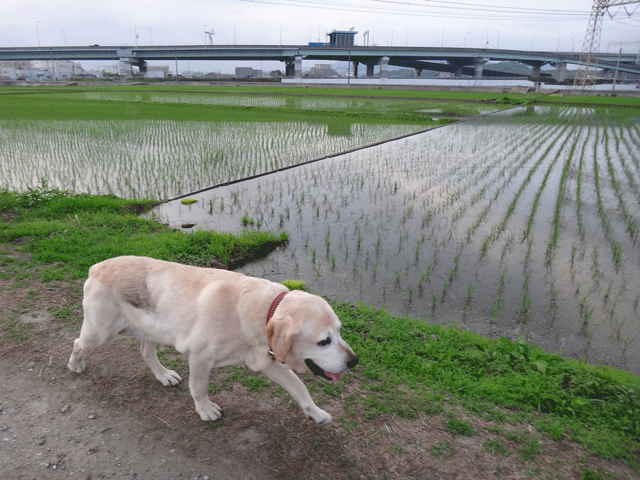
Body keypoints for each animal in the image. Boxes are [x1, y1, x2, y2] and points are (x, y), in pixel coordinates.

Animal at [70, 255, 360, 424]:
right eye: (323, 341)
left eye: (339, 331)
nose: (354, 361)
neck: (262, 310)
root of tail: (97, 266)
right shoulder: (200, 358)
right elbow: (199, 388)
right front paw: (205, 410)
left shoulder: (267, 360)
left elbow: (300, 388)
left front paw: (316, 413)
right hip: (100, 331)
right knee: (78, 343)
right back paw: (75, 365)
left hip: (150, 329)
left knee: (146, 352)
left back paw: (163, 375)